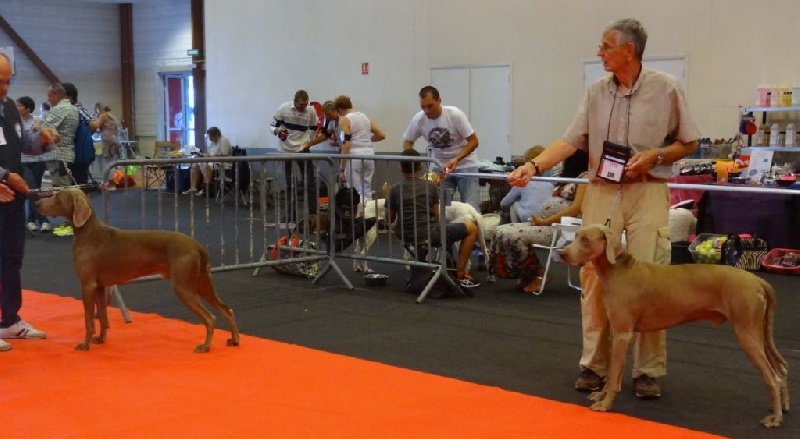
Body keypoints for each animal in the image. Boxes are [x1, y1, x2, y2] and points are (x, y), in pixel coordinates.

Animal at [36, 188, 240, 353]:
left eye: (57, 197)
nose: (36, 203)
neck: (88, 233)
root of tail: (198, 245)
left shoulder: (87, 285)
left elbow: (89, 320)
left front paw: (85, 345)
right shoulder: (100, 287)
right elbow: (102, 317)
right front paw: (101, 339)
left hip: (183, 287)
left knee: (210, 317)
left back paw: (205, 346)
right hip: (201, 283)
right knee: (227, 309)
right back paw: (235, 339)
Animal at [559, 224, 789, 428]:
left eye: (586, 240)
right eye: (576, 235)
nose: (562, 254)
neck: (617, 270)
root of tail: (757, 280)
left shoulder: (623, 334)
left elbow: (614, 373)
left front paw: (605, 404)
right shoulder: (620, 335)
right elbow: (614, 373)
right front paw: (600, 394)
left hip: (747, 333)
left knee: (773, 377)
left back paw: (775, 419)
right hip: (760, 333)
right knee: (781, 369)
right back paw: (781, 407)